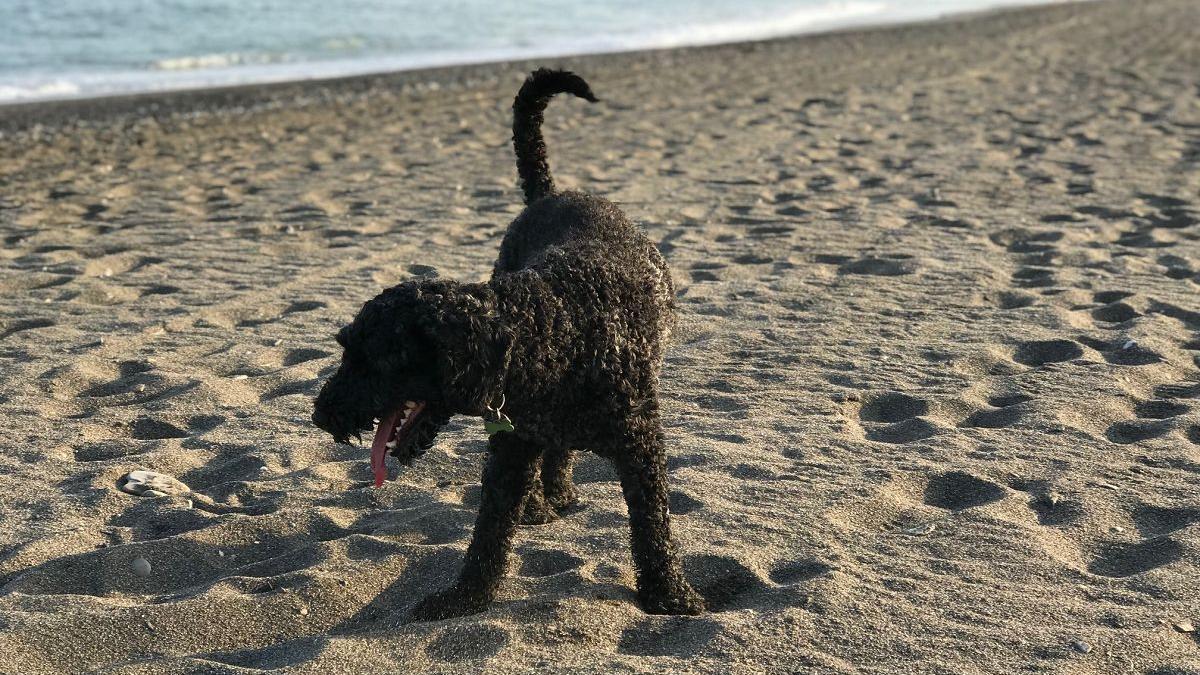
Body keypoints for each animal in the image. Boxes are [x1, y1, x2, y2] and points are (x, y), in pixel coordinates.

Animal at [312, 68, 700, 619]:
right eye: (346, 348)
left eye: (373, 359)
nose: (321, 415)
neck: (548, 330)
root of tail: (550, 195)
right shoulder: (510, 449)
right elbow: (490, 534)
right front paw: (465, 596)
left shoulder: (642, 446)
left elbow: (653, 525)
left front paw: (669, 593)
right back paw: (542, 501)